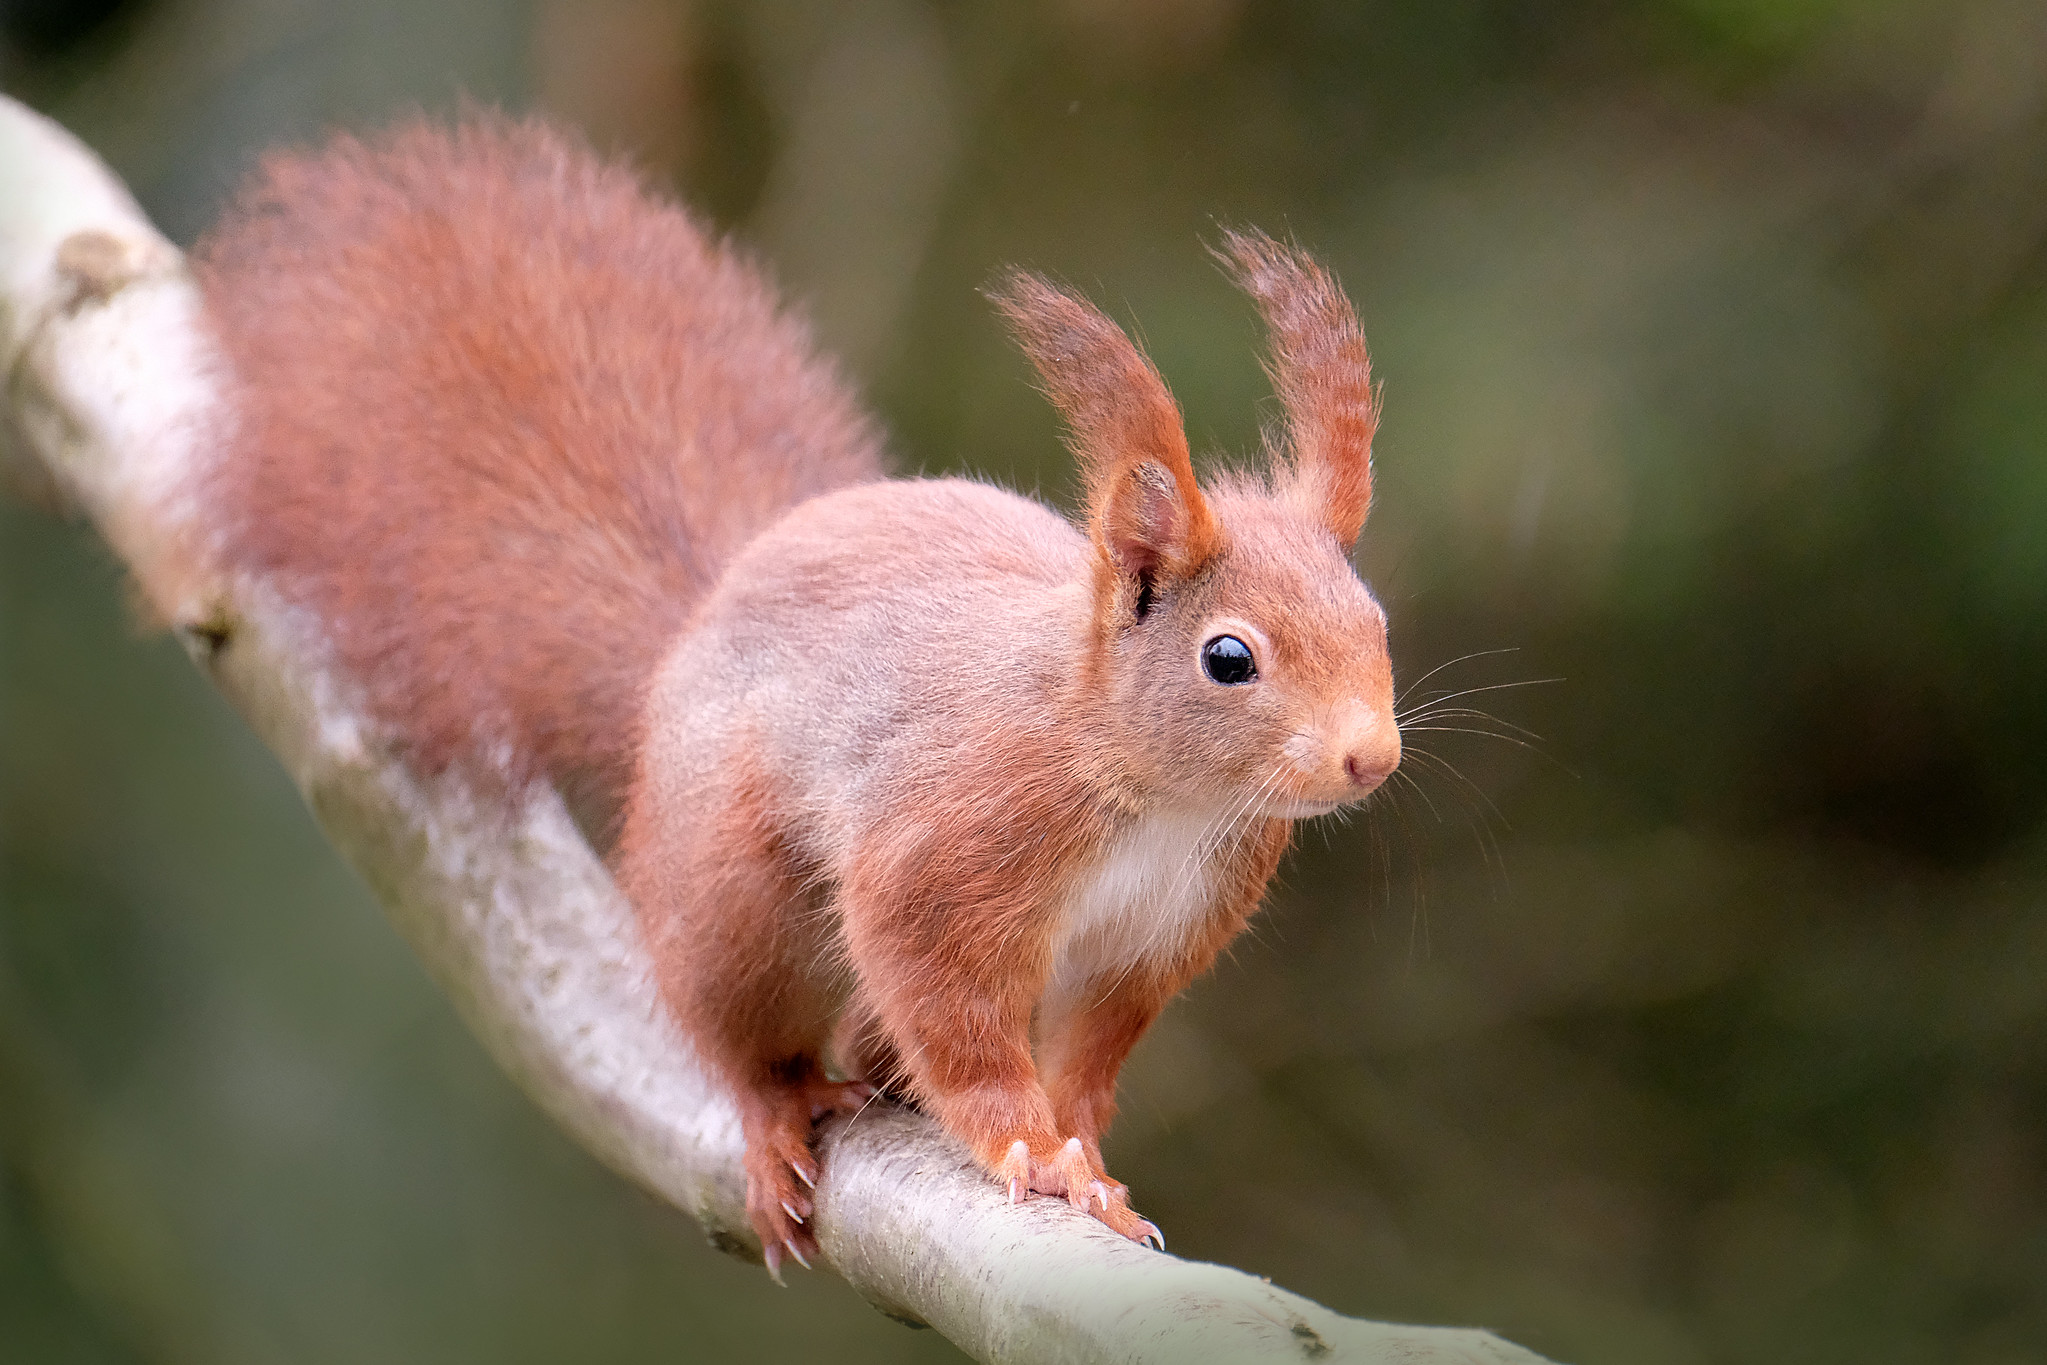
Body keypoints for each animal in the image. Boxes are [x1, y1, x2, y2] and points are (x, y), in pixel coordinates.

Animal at [192, 117, 1400, 1285]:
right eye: (1228, 659)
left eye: (1374, 618)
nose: (1371, 758)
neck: (1156, 795)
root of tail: (683, 647)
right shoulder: (950, 850)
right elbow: (954, 1016)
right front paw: (1031, 1150)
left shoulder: (1150, 944)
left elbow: (1090, 1064)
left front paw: (1088, 1159)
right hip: (735, 902)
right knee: (746, 1037)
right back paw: (778, 1117)